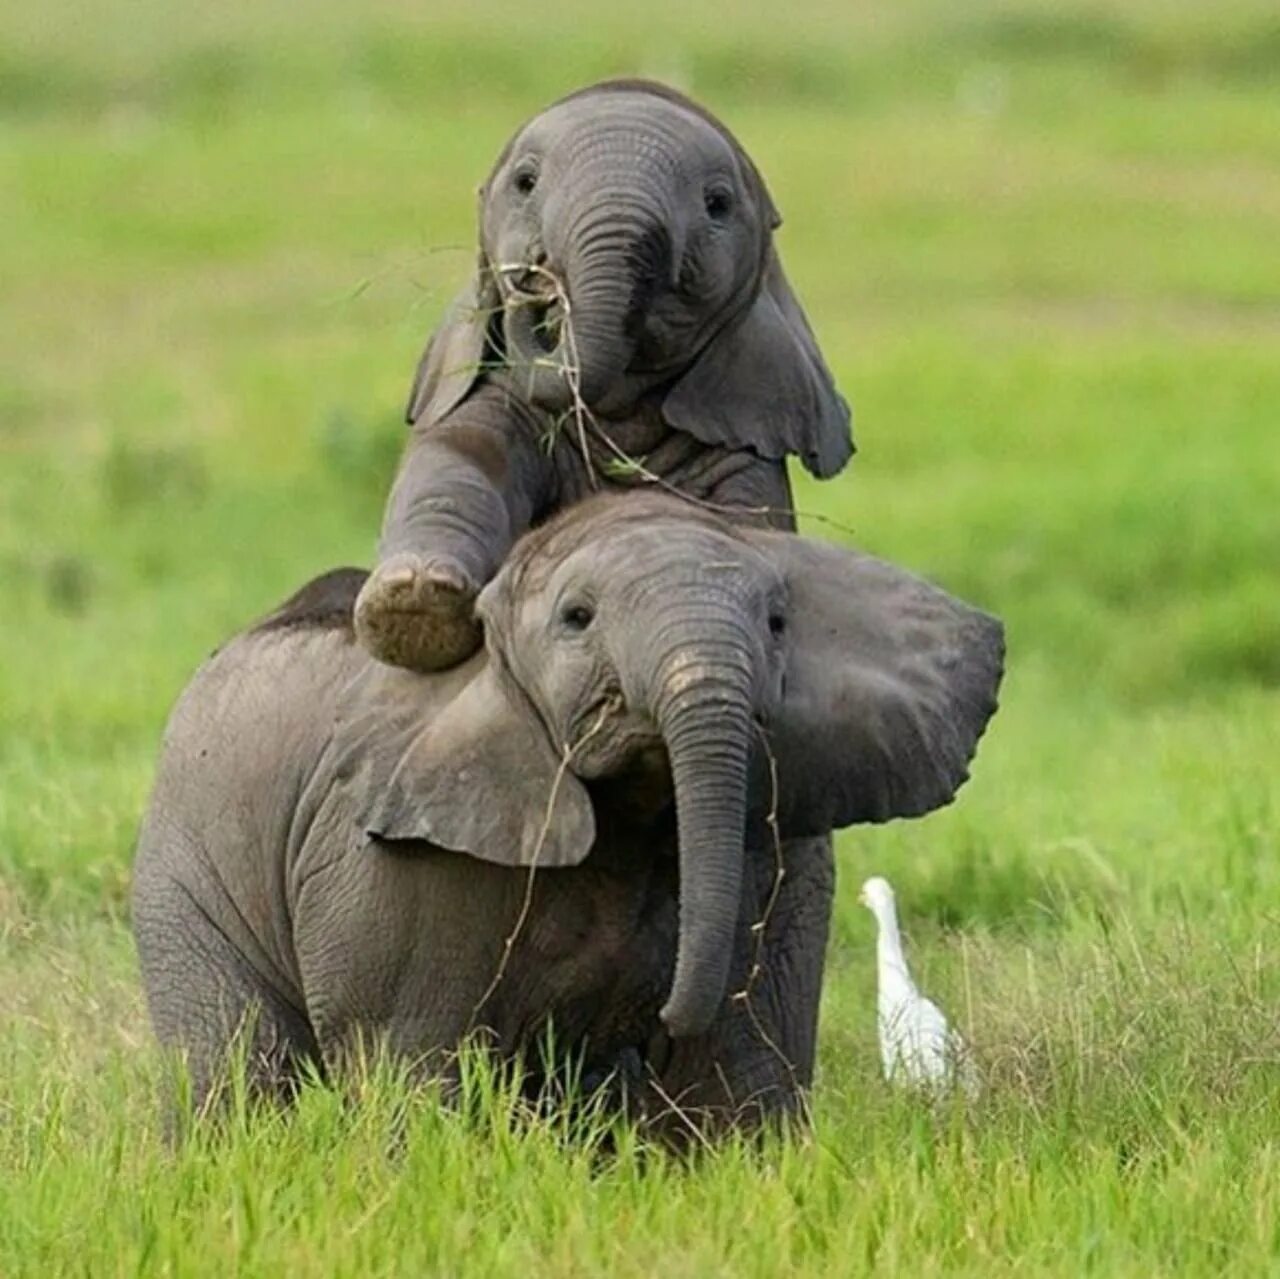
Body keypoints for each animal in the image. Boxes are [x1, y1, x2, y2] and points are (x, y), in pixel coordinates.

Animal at [137, 491, 998, 1142]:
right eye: (577, 617)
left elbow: (737, 1063)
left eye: (779, 623)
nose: (656, 1019)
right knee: (235, 1068)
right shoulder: (396, 859)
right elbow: (413, 1061)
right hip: (184, 862)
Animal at [353, 78, 849, 675]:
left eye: (718, 204)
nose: (533, 278)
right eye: (525, 183)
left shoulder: (743, 438)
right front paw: (413, 606)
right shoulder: (492, 394)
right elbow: (459, 460)